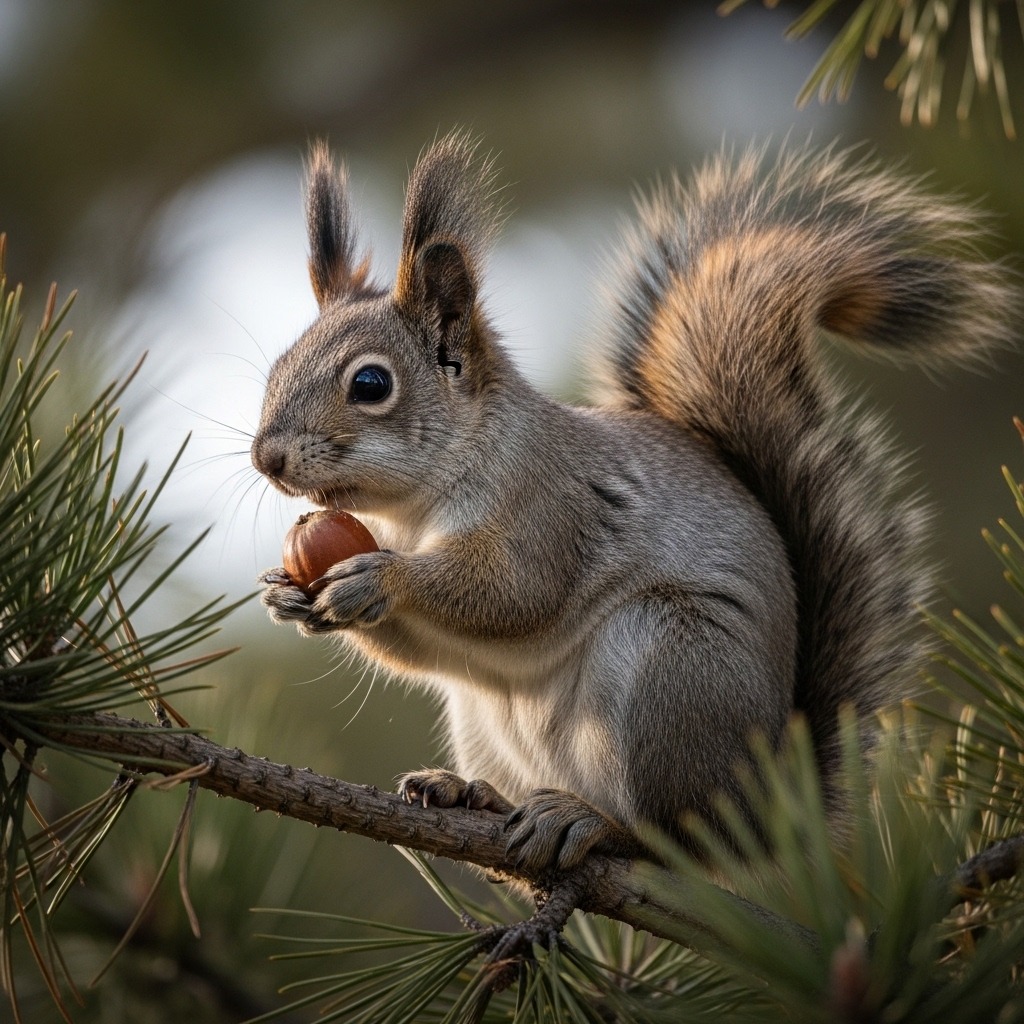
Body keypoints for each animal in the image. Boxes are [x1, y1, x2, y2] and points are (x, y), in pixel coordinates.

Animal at [252, 133, 1016, 872]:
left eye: (371, 384)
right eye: (276, 367)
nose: (266, 458)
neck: (411, 510)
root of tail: (768, 812)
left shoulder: (551, 505)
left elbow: (512, 591)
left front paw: (382, 578)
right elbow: (422, 651)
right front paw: (286, 595)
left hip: (670, 672)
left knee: (675, 838)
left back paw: (592, 823)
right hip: (486, 718)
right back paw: (475, 793)